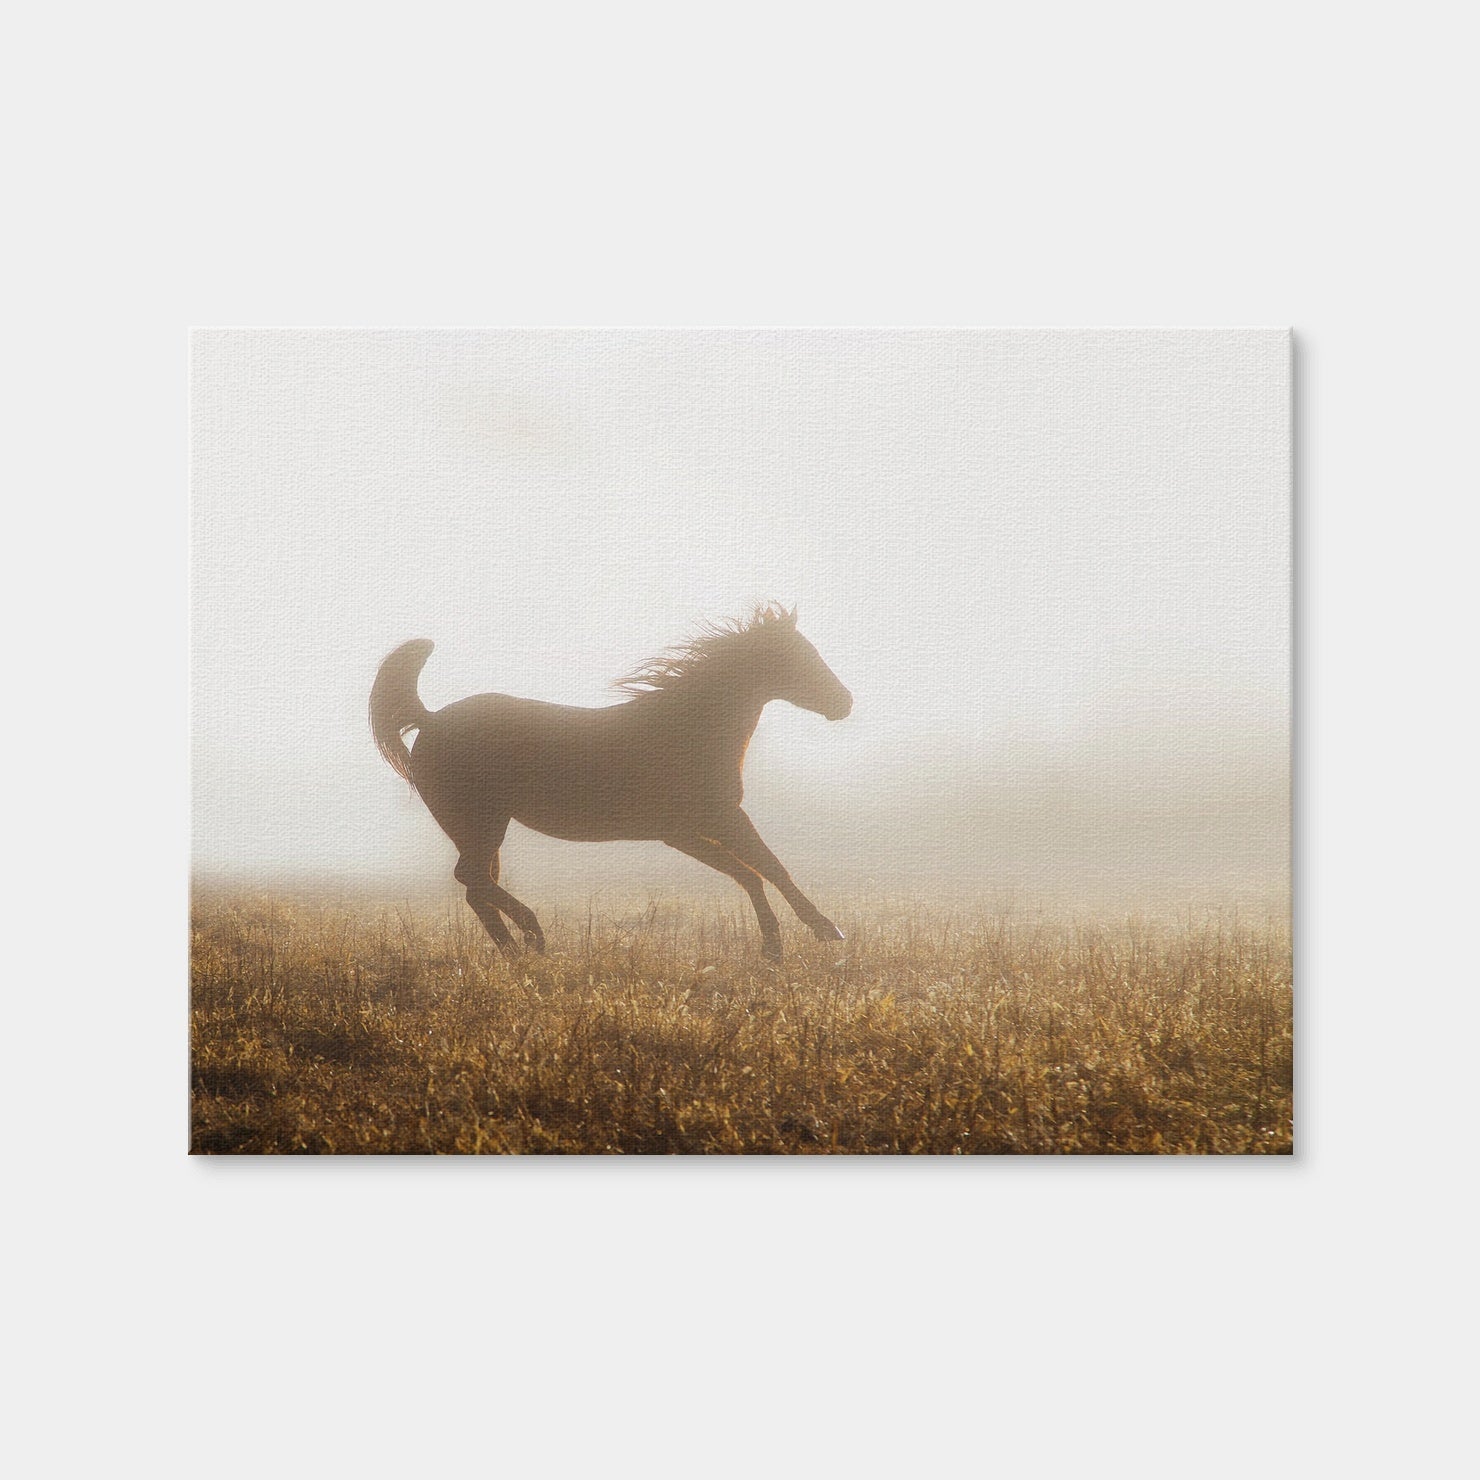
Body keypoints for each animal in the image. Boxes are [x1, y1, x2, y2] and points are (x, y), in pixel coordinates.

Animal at [370, 604, 853, 961]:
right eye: (796, 657)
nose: (844, 703)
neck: (688, 731)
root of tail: (429, 720)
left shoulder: (715, 821)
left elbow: (765, 868)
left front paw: (810, 935)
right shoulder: (689, 829)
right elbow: (754, 871)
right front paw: (790, 942)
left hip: (480, 830)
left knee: (476, 887)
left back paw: (516, 952)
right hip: (482, 824)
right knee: (472, 879)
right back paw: (534, 936)